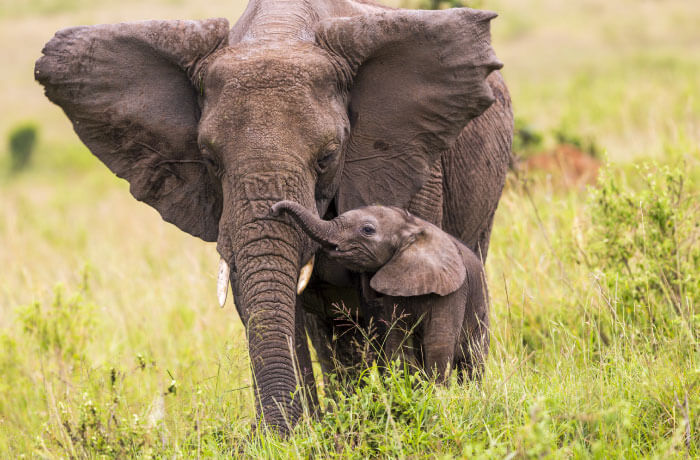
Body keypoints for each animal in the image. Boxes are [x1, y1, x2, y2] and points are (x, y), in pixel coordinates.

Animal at [271, 200, 490, 382]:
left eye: (367, 230)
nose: (274, 209)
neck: (413, 228)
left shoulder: (452, 292)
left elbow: (438, 343)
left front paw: (436, 395)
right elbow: (397, 340)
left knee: (473, 362)